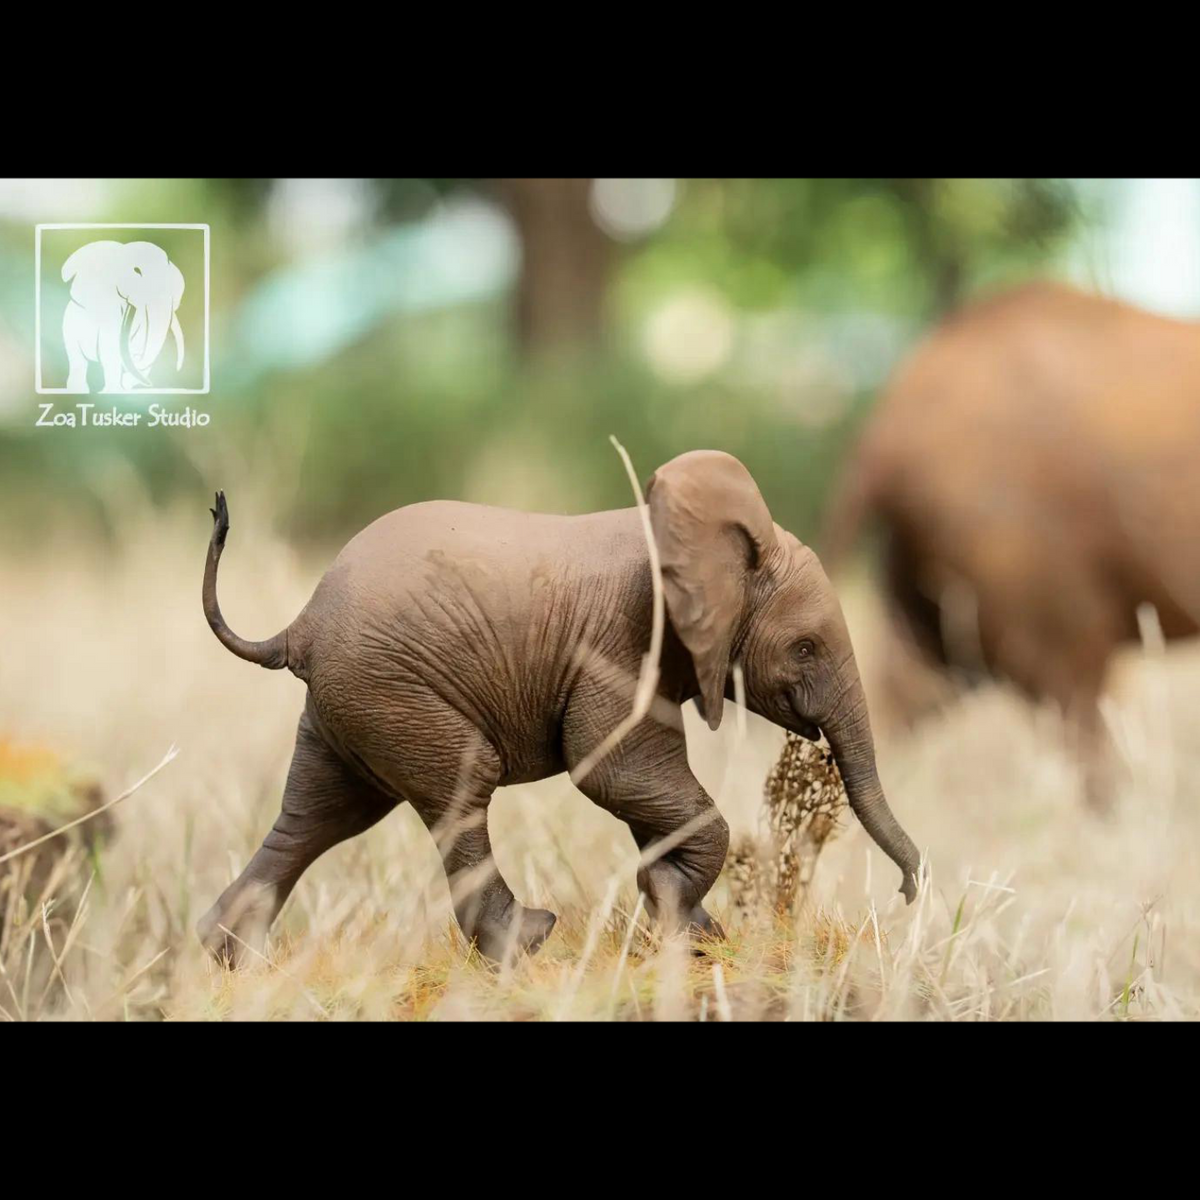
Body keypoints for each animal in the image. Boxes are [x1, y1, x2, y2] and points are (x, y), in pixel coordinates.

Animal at [196, 450, 921, 966]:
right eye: (805, 648)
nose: (908, 892)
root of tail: (300, 626)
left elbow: (641, 789)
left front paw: (687, 926)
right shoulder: (621, 642)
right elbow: (612, 769)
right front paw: (673, 908)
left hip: (352, 705)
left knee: (322, 812)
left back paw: (231, 957)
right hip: (392, 692)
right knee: (461, 789)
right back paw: (528, 943)